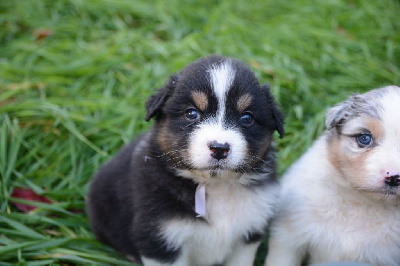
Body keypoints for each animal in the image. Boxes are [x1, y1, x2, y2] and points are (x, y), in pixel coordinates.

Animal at [86, 55, 284, 264]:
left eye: (247, 118)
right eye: (191, 113)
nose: (219, 148)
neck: (215, 185)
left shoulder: (249, 233)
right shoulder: (160, 241)